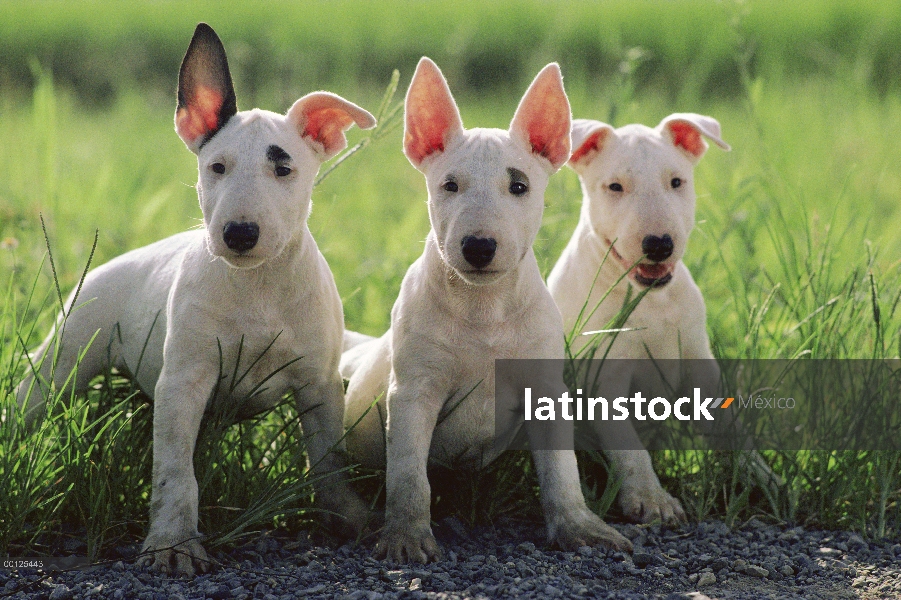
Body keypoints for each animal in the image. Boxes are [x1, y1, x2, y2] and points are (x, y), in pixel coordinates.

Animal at [17, 23, 376, 576]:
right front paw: (172, 544)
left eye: (284, 170)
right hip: (59, 364)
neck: (256, 285)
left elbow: (328, 458)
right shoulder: (183, 383)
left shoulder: (318, 384)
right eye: (216, 167)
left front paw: (346, 514)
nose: (239, 233)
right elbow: (175, 472)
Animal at [340, 56, 632, 564]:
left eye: (519, 186)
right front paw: (405, 537)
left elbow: (561, 470)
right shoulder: (413, 392)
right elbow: (409, 475)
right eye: (449, 185)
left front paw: (579, 528)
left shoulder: (546, 390)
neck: (485, 306)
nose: (478, 246)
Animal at [548, 115, 732, 524]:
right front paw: (652, 498)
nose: (659, 244)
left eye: (676, 181)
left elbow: (727, 426)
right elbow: (630, 448)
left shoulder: (699, 362)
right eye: (615, 186)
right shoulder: (604, 376)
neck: (651, 300)